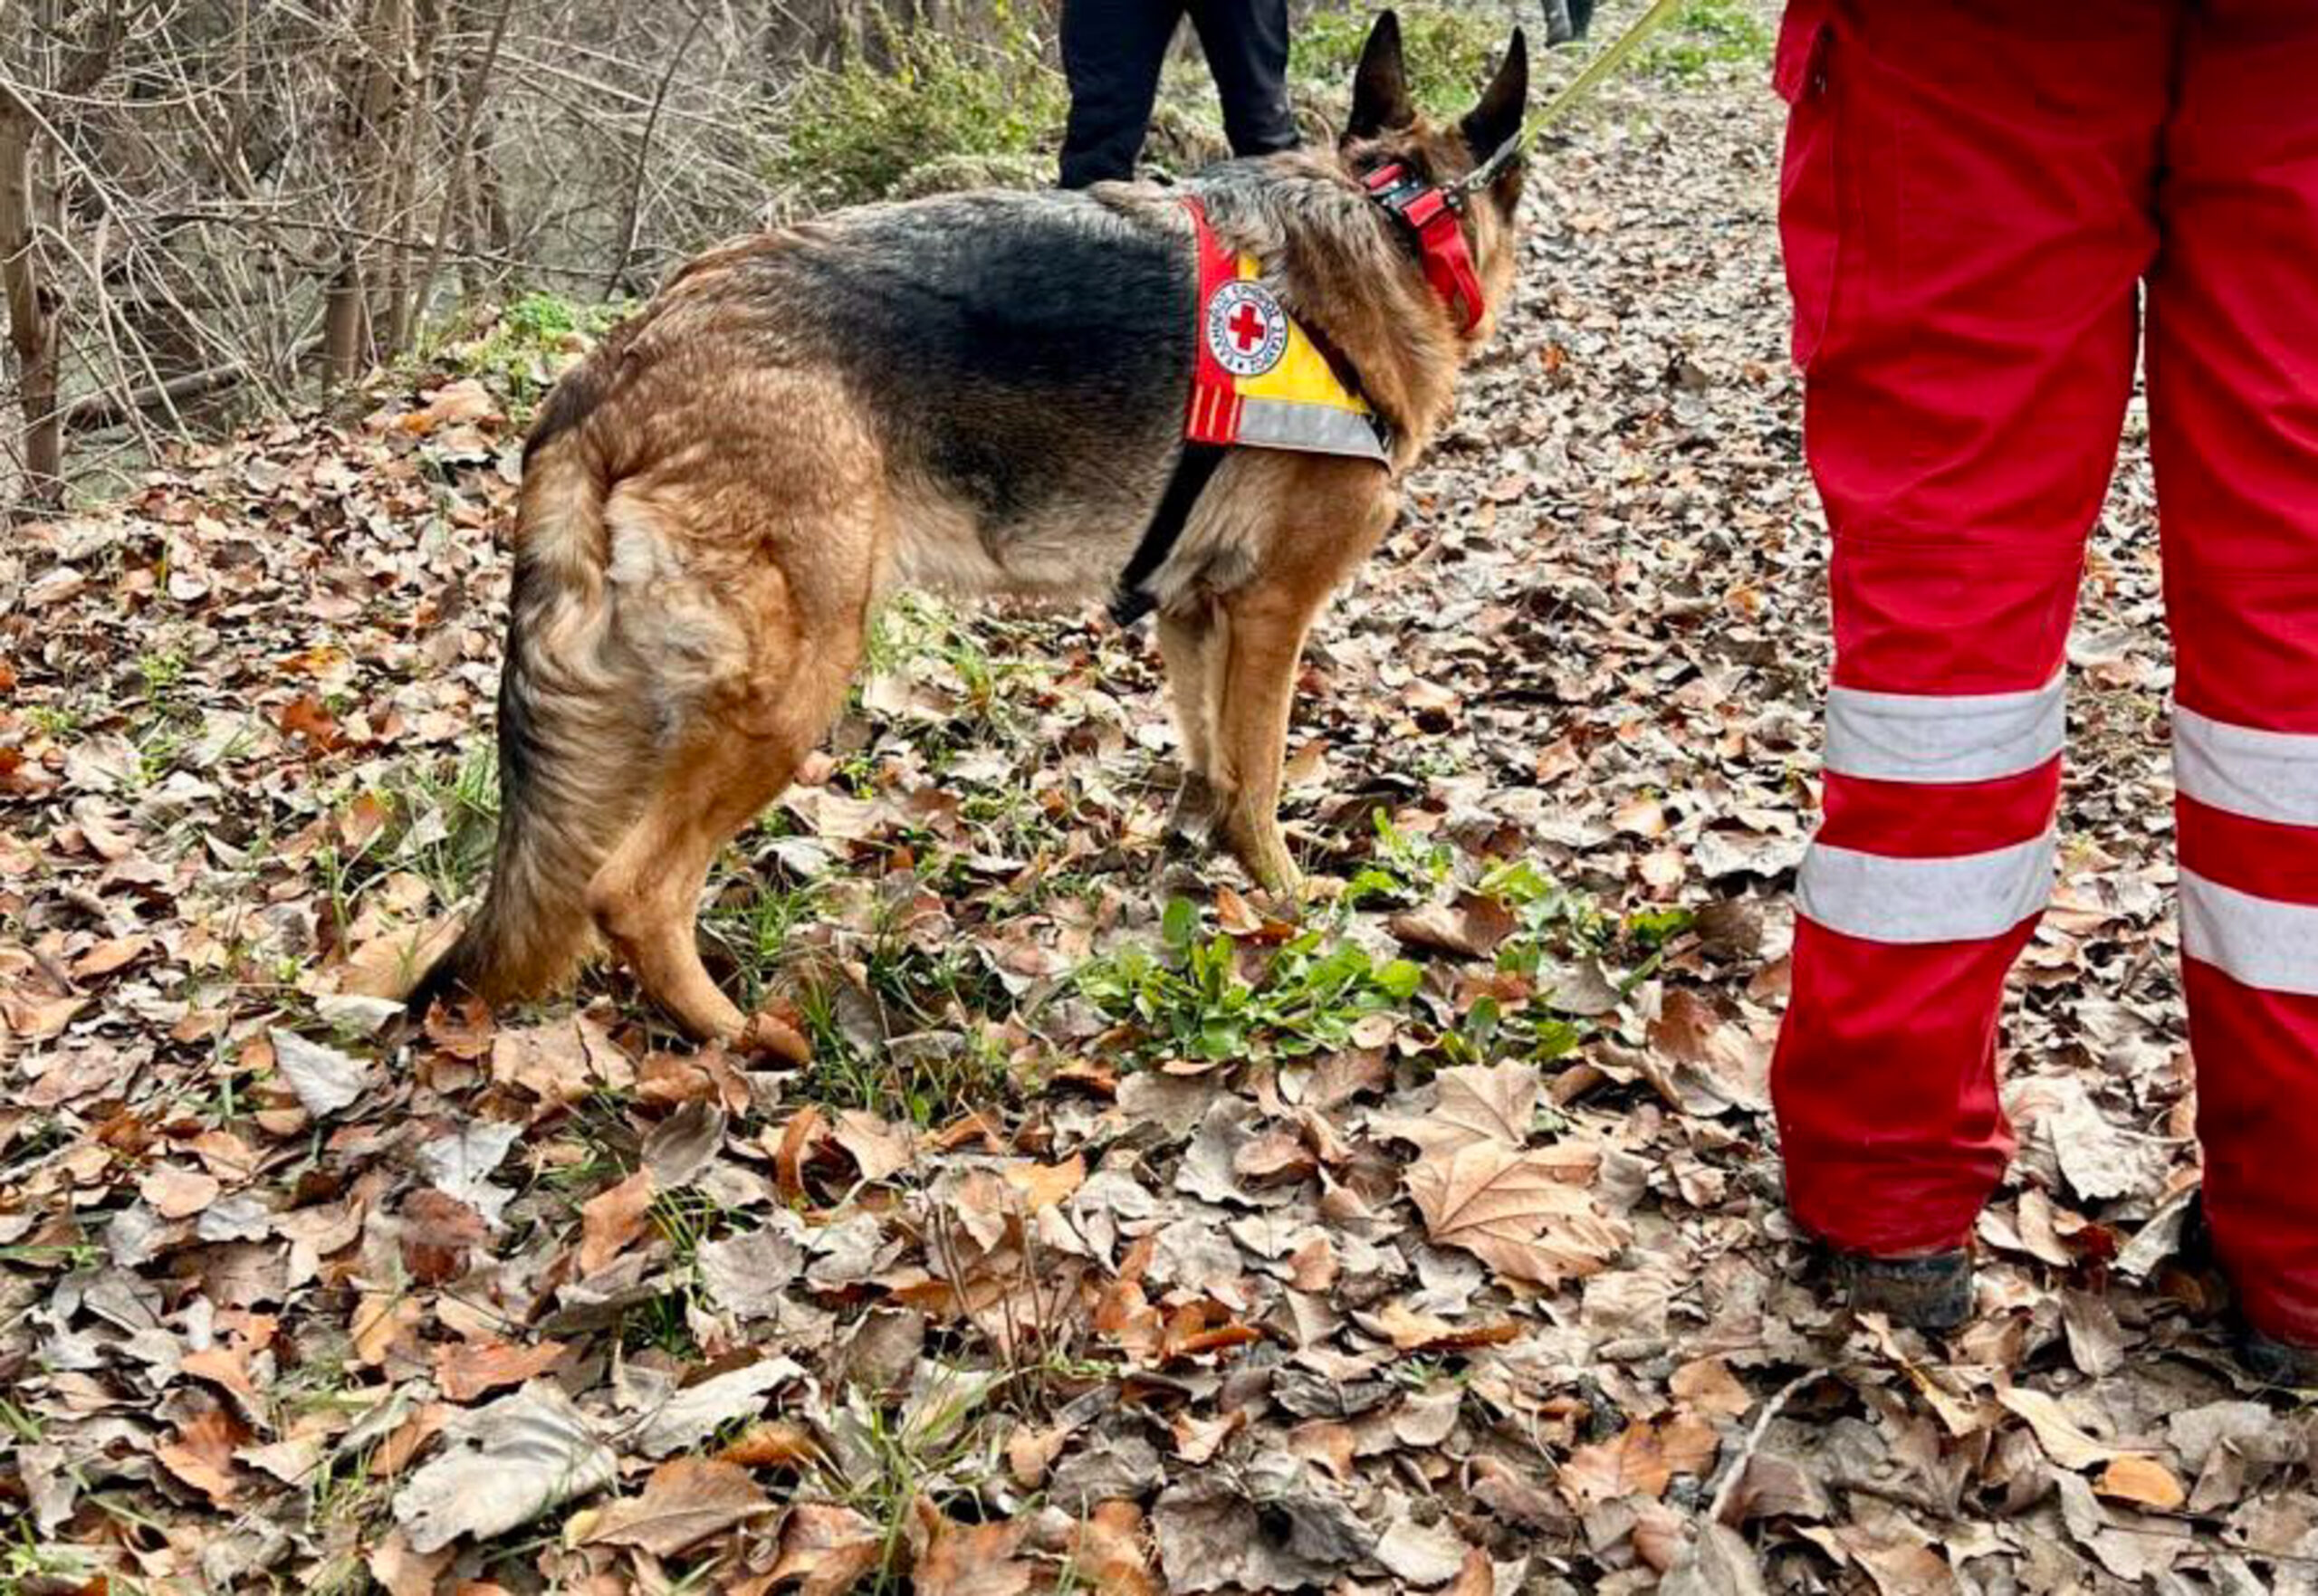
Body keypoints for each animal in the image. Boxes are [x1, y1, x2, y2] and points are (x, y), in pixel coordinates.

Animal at [412, 15, 1538, 1046]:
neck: (1393, 216)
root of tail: (615, 364)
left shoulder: (1191, 611)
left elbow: (1208, 760)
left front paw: (1195, 858)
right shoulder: (1271, 611)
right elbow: (1257, 777)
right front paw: (1290, 905)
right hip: (790, 689)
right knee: (632, 890)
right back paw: (745, 1037)